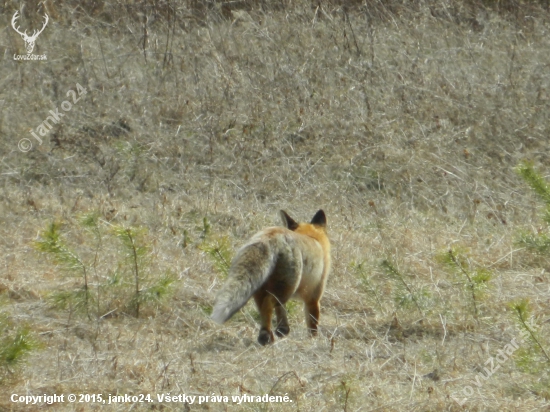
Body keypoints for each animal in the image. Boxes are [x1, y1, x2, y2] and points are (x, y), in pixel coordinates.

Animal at [211, 209, 332, 344]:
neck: (312, 237)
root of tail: (271, 235)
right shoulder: (314, 298)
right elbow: (312, 324)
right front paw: (313, 341)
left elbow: (281, 311)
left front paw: (283, 330)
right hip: (287, 288)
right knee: (270, 303)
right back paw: (271, 335)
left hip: (261, 288)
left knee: (264, 309)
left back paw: (267, 336)